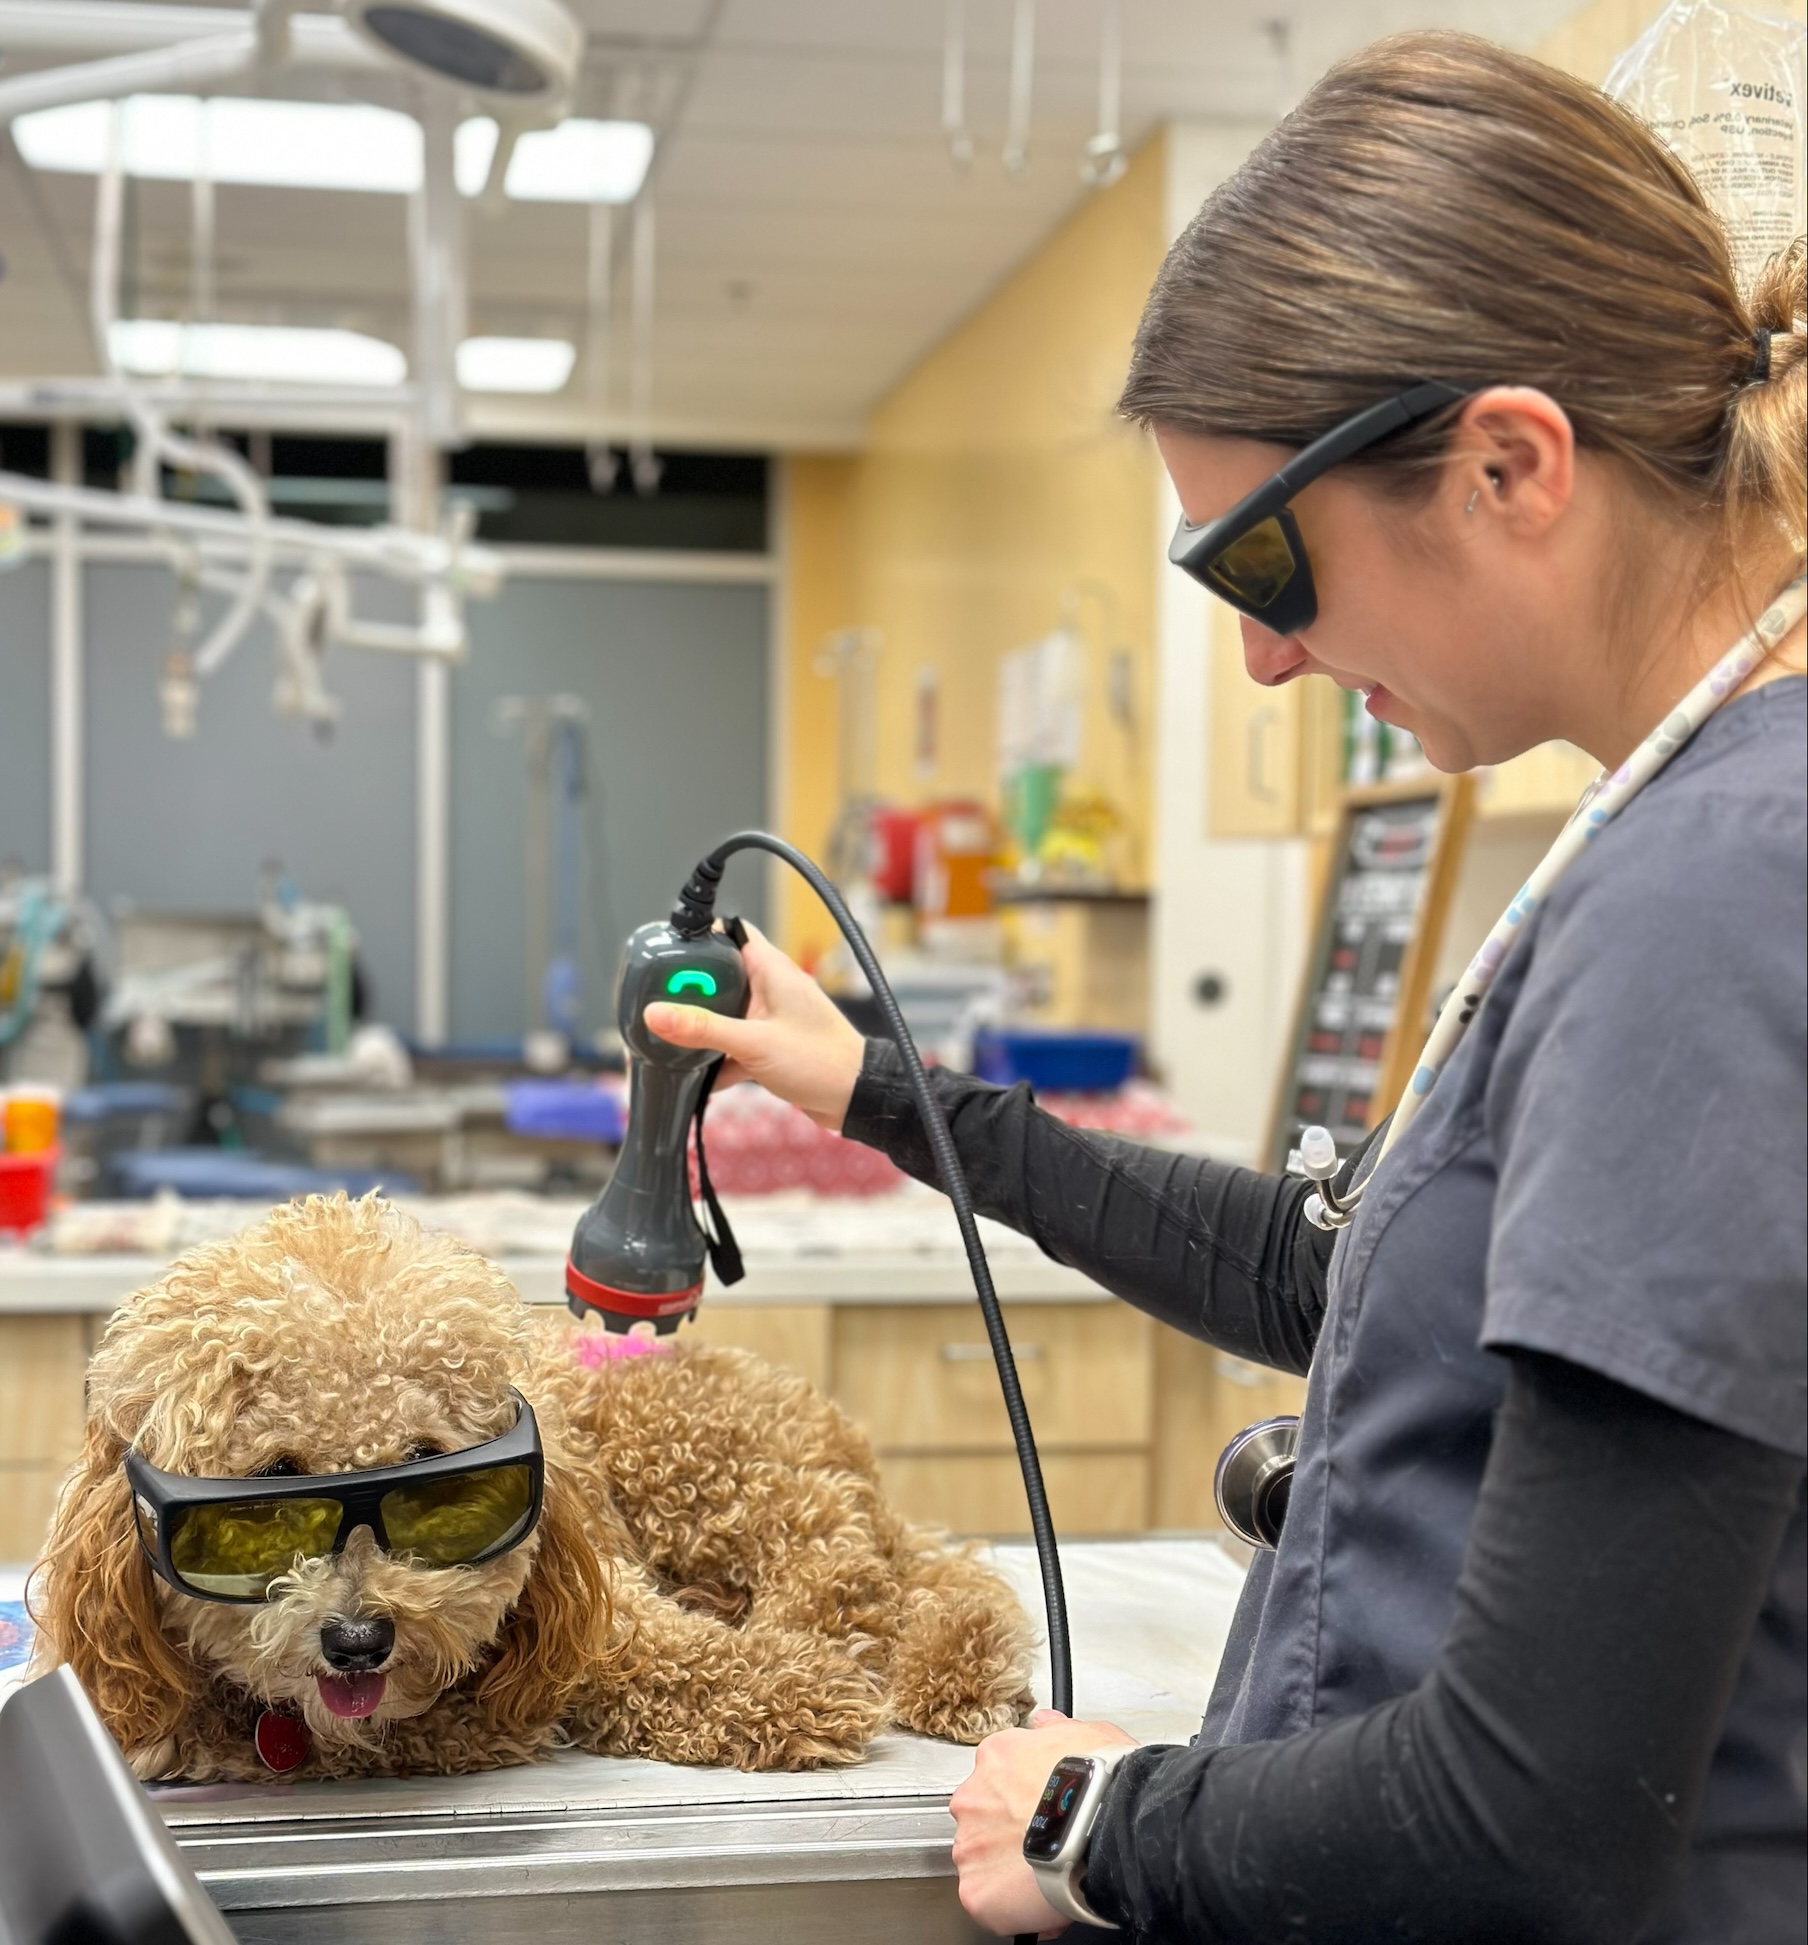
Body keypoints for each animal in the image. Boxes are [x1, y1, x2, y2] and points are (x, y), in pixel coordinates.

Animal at [28, 1182, 1026, 1781]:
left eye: (428, 1467)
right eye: (272, 1488)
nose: (358, 1639)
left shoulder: (596, 1592)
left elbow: (643, 1650)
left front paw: (792, 1687)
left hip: (705, 1465)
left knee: (852, 1574)